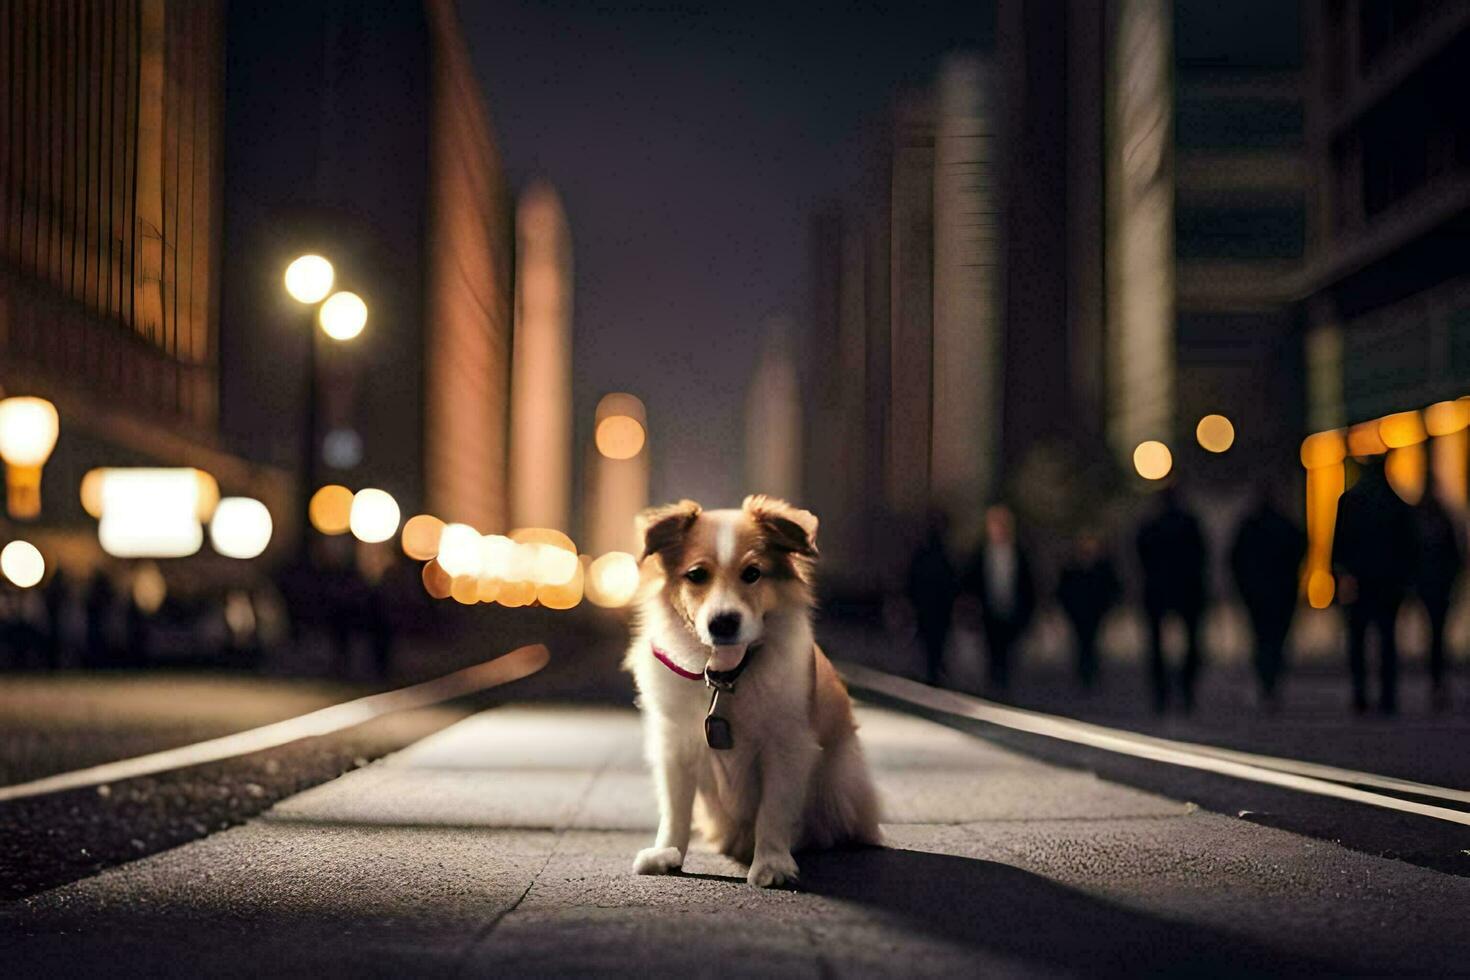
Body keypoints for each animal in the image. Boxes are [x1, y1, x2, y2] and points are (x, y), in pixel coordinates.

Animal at [623, 493, 876, 887]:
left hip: (841, 778)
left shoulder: (787, 745)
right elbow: (676, 806)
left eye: (753, 573)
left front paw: (772, 863)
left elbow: (774, 808)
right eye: (697, 575)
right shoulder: (675, 744)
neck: (726, 675)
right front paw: (667, 851)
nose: (724, 622)